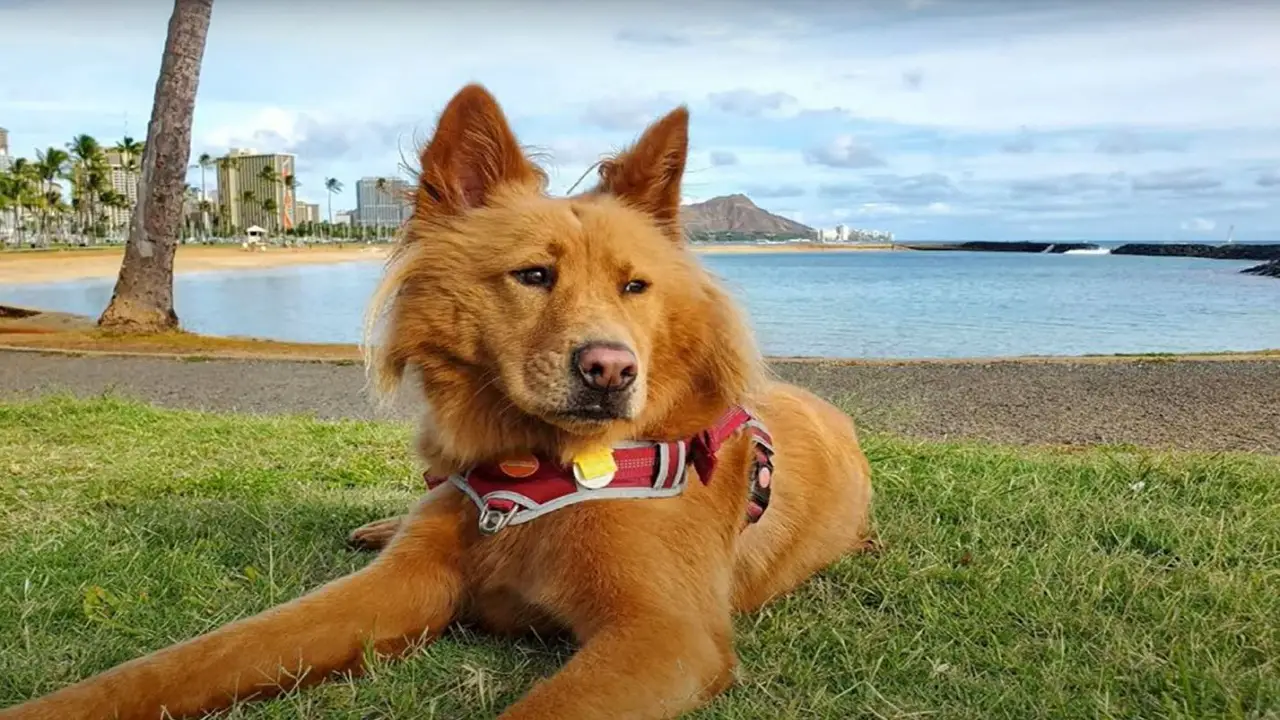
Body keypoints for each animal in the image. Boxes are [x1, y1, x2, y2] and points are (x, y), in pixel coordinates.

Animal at [0, 83, 875, 717]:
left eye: (636, 287)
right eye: (533, 275)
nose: (611, 371)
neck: (531, 474)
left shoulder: (664, 634)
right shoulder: (397, 587)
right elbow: (186, 660)